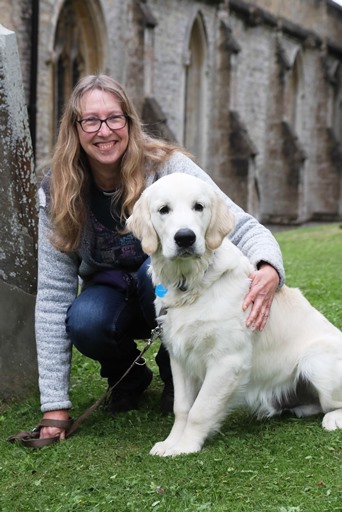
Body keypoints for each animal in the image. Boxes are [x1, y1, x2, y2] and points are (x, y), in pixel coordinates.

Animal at [126, 172, 342, 456]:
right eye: (164, 209)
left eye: (199, 206)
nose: (185, 238)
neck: (192, 282)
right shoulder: (180, 357)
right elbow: (182, 407)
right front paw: (171, 442)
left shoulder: (227, 360)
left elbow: (200, 410)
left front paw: (186, 446)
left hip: (315, 360)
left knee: (332, 404)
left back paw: (333, 418)